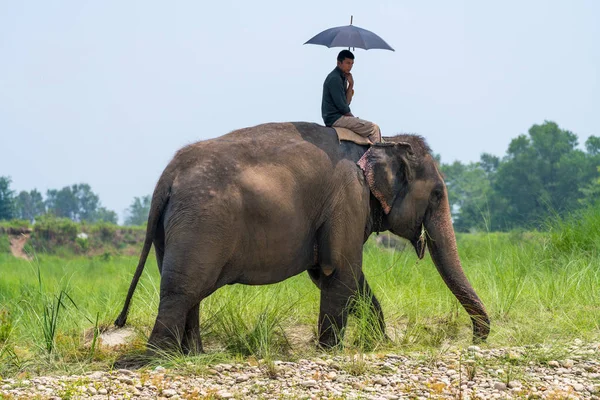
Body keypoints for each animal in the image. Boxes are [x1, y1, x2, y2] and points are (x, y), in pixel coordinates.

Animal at [115, 122, 490, 354]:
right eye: (438, 194)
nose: (475, 338)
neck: (379, 145)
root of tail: (167, 176)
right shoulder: (348, 198)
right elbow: (340, 270)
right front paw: (330, 351)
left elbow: (344, 276)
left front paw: (378, 344)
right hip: (200, 223)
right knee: (182, 290)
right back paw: (161, 357)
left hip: (175, 229)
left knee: (187, 291)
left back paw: (193, 356)